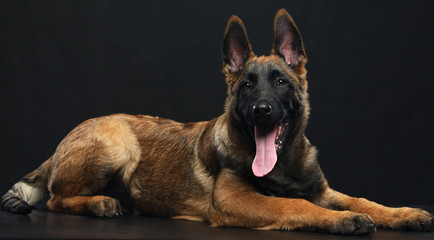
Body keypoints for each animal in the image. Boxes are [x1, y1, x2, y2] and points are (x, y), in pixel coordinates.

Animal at [2, 8, 434, 234]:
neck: (285, 165)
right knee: (55, 199)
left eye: (280, 82)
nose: (262, 110)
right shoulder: (235, 200)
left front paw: (403, 213)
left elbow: (363, 199)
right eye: (246, 86)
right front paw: (341, 220)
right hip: (116, 142)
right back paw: (100, 204)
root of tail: (65, 139)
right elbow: (294, 206)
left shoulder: (322, 190)